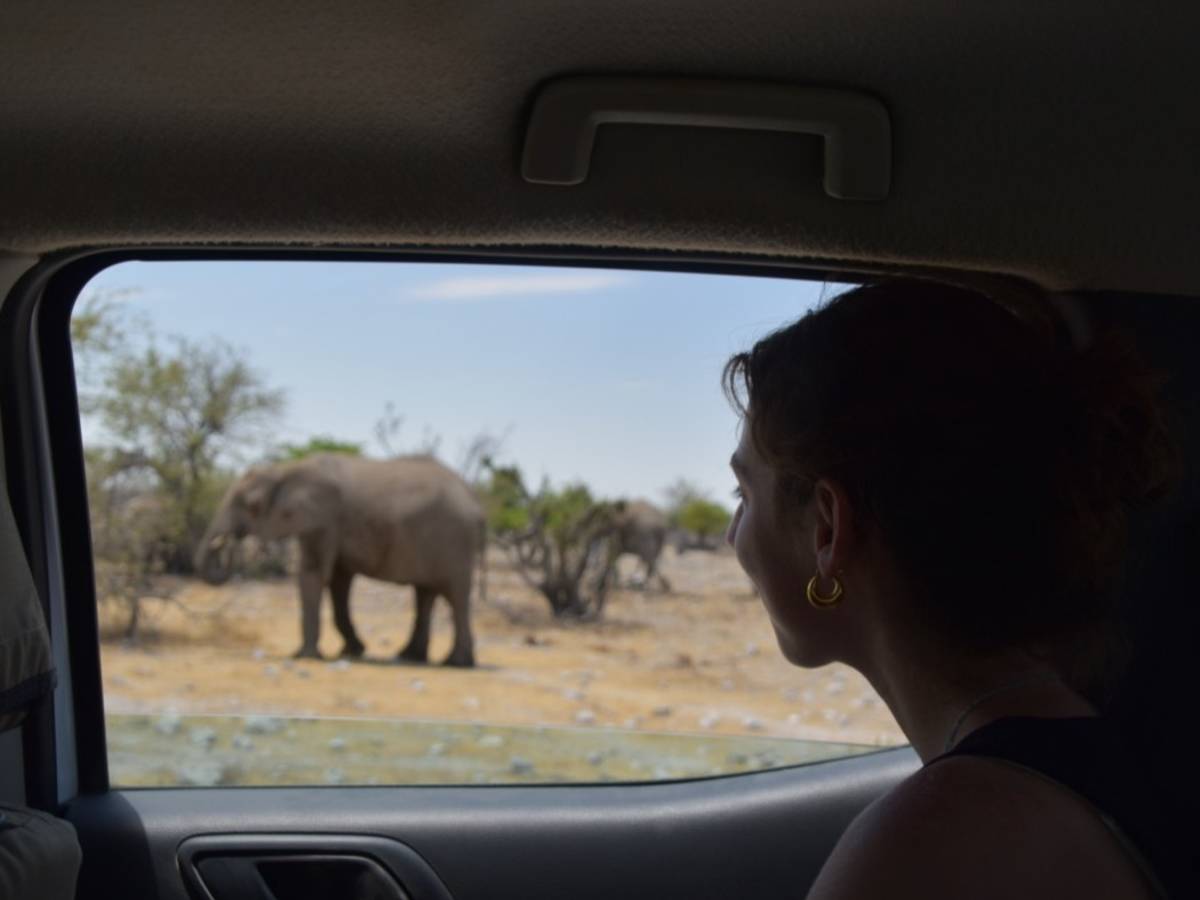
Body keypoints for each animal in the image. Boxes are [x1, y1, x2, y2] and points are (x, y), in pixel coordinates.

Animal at [194, 453, 485, 666]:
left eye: (252, 505)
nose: (227, 542)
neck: (286, 470)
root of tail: (474, 498)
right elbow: (338, 584)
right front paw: (352, 651)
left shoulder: (322, 520)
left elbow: (313, 575)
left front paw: (304, 656)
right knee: (425, 594)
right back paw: (411, 656)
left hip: (455, 542)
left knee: (455, 597)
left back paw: (456, 663)